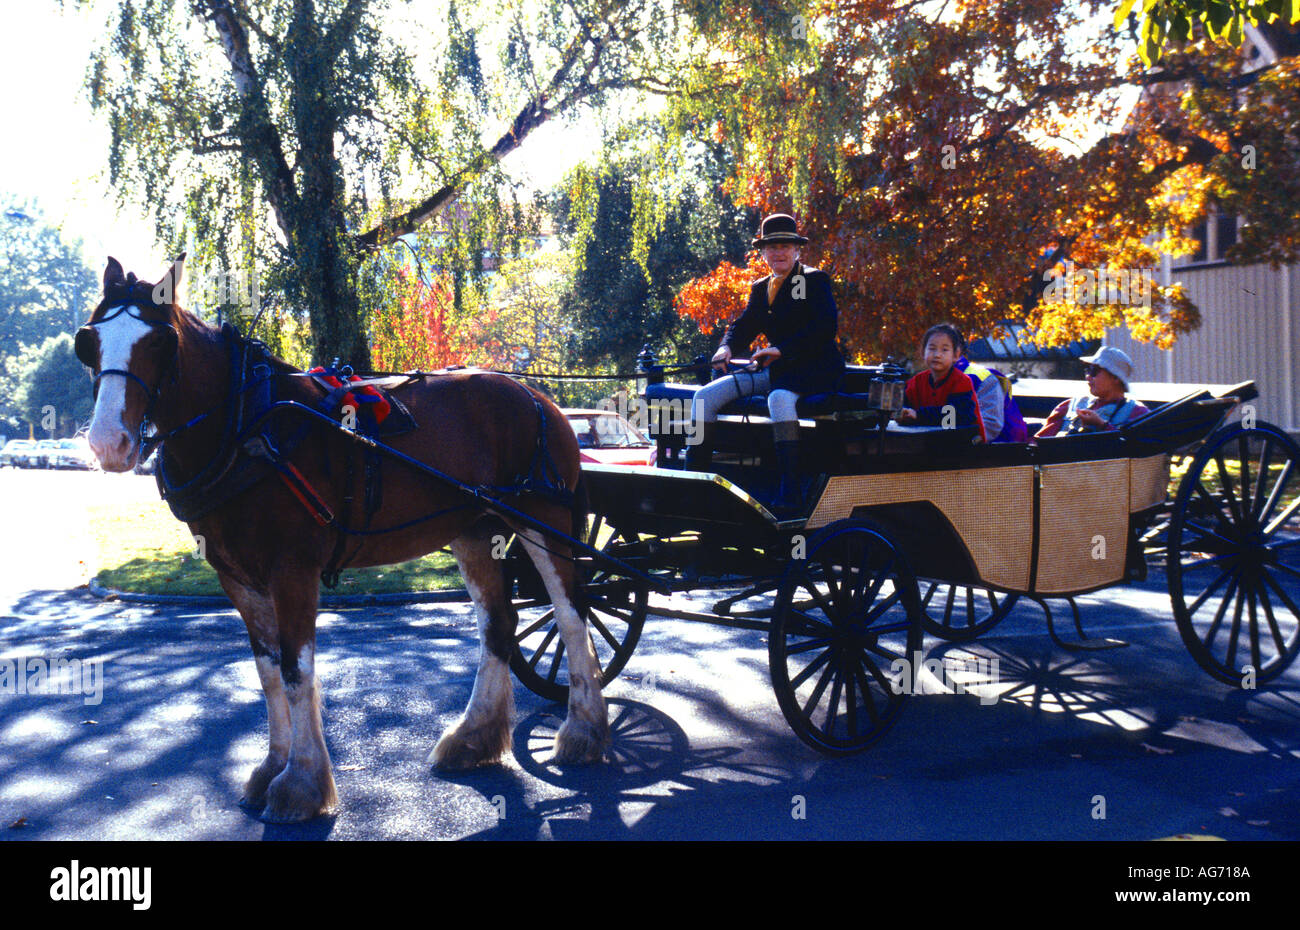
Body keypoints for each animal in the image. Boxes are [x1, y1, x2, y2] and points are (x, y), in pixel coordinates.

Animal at [76, 255, 606, 822]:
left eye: (159, 342)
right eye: (90, 341)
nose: (108, 443)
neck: (247, 427)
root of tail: (536, 396)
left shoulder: (292, 569)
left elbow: (295, 668)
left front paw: (300, 783)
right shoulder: (236, 576)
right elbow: (268, 671)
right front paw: (273, 767)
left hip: (542, 519)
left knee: (571, 614)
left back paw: (582, 730)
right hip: (474, 530)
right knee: (499, 625)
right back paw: (474, 738)